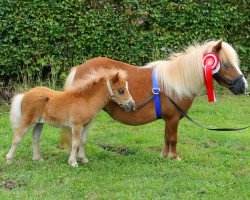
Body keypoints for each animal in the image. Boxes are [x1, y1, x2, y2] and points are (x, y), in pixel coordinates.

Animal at [6, 68, 135, 166]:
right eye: (121, 90)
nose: (131, 105)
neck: (85, 100)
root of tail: (25, 95)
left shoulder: (86, 125)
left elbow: (83, 141)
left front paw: (83, 159)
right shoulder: (77, 125)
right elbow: (75, 142)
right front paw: (73, 162)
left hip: (39, 123)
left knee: (35, 138)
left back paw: (37, 158)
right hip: (28, 120)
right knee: (17, 137)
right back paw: (9, 159)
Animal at [61, 39, 248, 160]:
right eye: (225, 64)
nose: (243, 86)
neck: (176, 83)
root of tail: (78, 68)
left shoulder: (169, 119)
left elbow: (166, 137)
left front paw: (164, 156)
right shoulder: (173, 118)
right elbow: (173, 138)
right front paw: (174, 158)